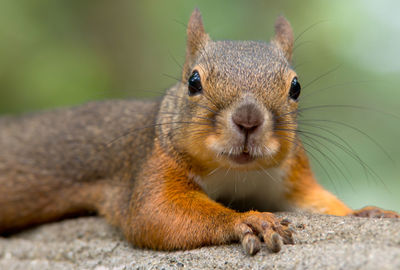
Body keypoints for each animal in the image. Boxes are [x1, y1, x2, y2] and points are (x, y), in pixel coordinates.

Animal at [0, 8, 398, 255]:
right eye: (193, 81)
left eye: (296, 87)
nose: (248, 120)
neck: (237, 173)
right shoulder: (152, 167)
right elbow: (156, 213)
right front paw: (249, 220)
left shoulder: (290, 178)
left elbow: (319, 201)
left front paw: (369, 212)